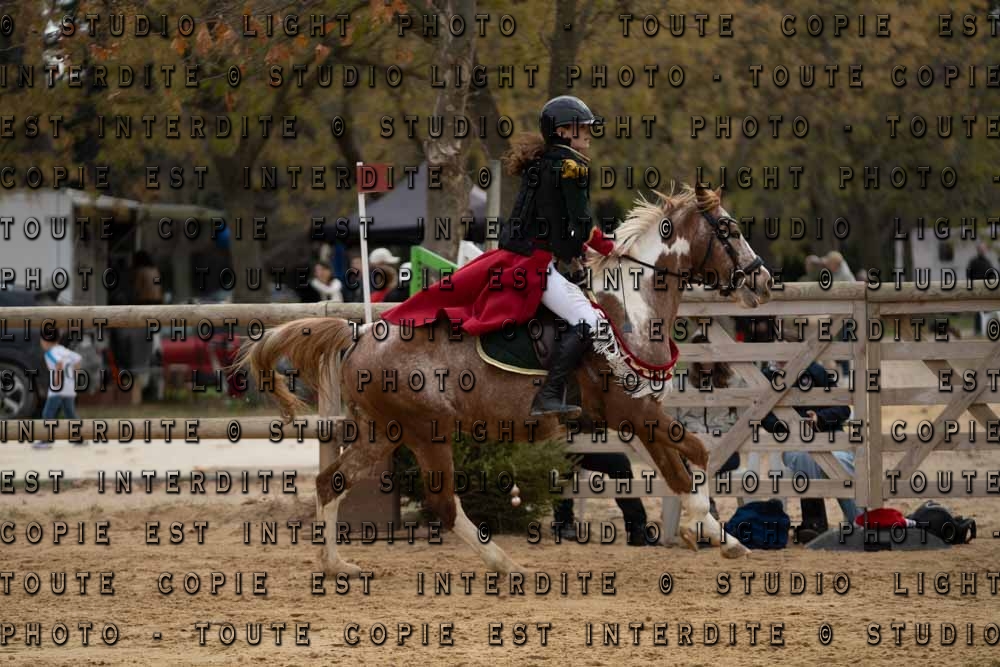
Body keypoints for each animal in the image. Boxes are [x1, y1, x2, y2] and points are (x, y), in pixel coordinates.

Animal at [239, 184, 773, 577]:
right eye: (729, 228)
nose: (763, 281)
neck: (632, 311)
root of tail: (360, 336)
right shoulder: (635, 413)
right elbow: (693, 458)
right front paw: (708, 528)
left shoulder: (640, 416)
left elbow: (685, 465)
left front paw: (715, 535)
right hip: (426, 432)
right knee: (441, 504)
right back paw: (505, 563)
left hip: (383, 432)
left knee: (332, 482)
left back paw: (335, 564)